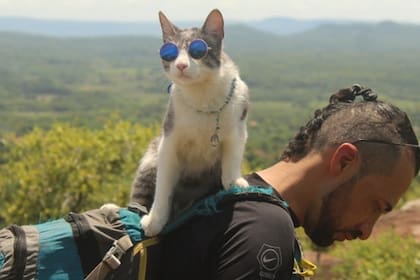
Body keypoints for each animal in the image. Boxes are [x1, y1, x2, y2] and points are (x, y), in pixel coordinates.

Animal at [131, 8, 249, 236]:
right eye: (169, 52)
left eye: (197, 50)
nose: (181, 65)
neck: (202, 94)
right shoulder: (169, 138)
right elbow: (163, 186)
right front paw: (155, 220)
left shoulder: (238, 126)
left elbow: (232, 159)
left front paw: (234, 181)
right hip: (150, 158)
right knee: (137, 198)